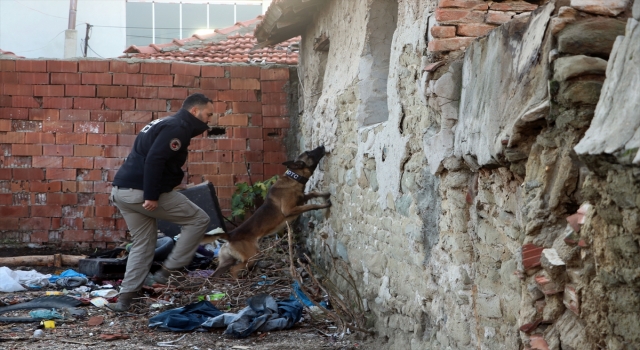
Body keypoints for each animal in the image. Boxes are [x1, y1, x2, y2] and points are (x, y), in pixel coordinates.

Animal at [205, 145, 332, 278]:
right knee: (234, 270)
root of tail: (230, 235)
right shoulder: (289, 210)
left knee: (216, 274)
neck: (294, 178)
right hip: (252, 256)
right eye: (309, 153)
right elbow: (311, 205)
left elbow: (313, 193)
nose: (322, 146)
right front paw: (324, 204)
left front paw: (325, 194)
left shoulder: (302, 198)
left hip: (227, 261)